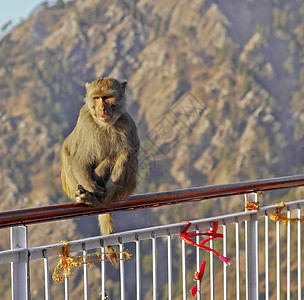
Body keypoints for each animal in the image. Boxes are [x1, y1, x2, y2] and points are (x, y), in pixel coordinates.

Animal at [60, 77, 140, 264]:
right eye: (97, 98)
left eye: (107, 97)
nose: (102, 108)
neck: (105, 124)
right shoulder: (84, 118)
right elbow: (78, 157)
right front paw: (90, 185)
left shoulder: (127, 123)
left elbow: (129, 150)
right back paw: (88, 196)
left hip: (126, 189)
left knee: (127, 155)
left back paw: (99, 200)